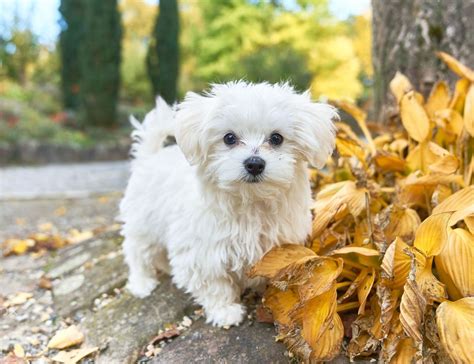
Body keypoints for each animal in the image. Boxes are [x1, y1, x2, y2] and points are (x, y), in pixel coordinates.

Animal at [120, 82, 338, 328]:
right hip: (143, 224)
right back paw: (142, 283)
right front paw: (225, 311)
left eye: (276, 138)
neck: (250, 202)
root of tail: (149, 157)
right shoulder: (202, 253)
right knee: (136, 252)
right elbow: (214, 284)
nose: (254, 163)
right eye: (229, 138)